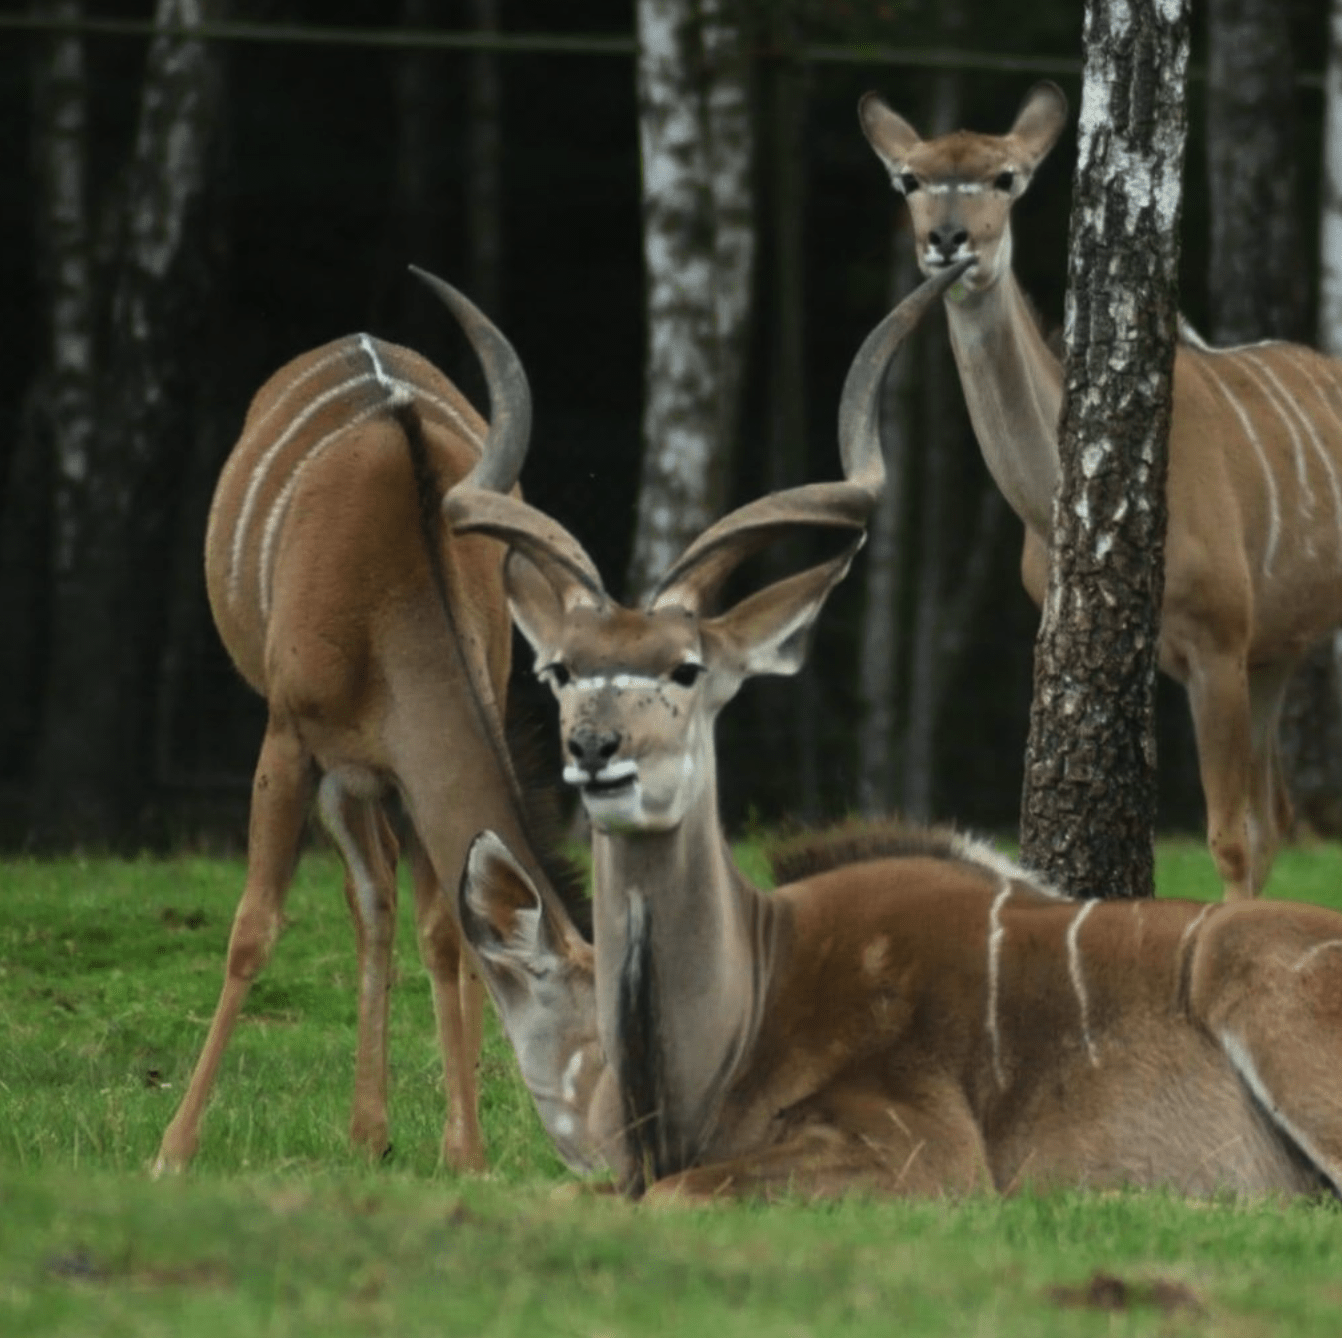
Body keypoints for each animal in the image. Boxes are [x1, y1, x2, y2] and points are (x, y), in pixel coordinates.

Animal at [152, 276, 571, 1175]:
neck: (392, 595)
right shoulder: (289, 739)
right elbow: (253, 927)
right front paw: (173, 1148)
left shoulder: (412, 764)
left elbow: (444, 929)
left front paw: (465, 1149)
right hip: (334, 765)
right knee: (365, 891)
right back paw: (366, 1129)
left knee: (382, 893)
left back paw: (375, 1129)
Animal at [445, 265, 1342, 1207]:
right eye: (561, 670)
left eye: (686, 669)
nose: (595, 750)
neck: (748, 1005)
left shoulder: (924, 1151)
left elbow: (673, 1190)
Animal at [858, 80, 1342, 896]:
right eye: (910, 180)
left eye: (1005, 177)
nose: (950, 241)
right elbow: (1244, 829)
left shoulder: (1219, 644)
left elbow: (1228, 838)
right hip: (1279, 651)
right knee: (1277, 815)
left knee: (1262, 822)